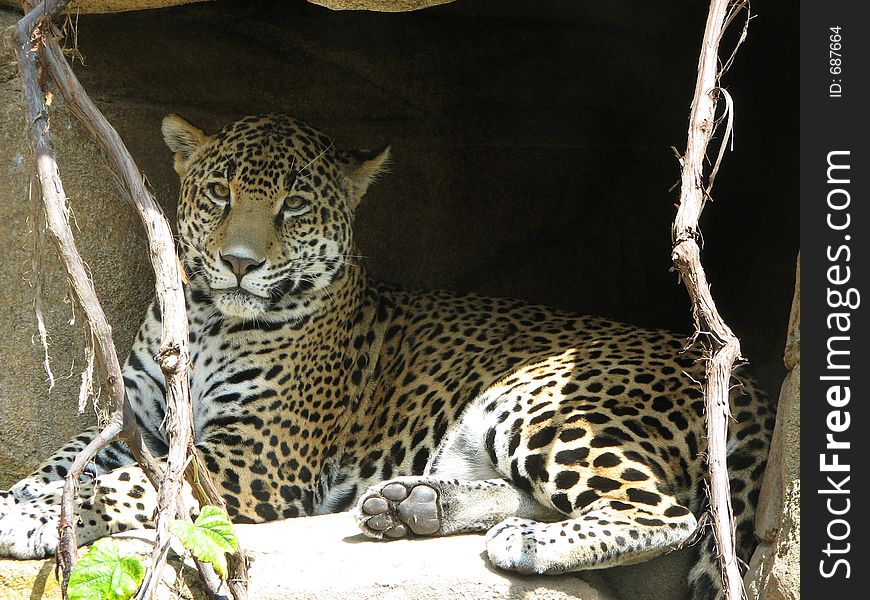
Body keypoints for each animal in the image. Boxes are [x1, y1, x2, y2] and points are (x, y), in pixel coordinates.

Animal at [0, 113, 776, 600]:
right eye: (220, 194)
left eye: (294, 208)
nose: (240, 263)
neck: (206, 319)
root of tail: (742, 377)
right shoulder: (139, 419)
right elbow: (65, 464)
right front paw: (21, 498)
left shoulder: (259, 459)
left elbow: (134, 483)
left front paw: (30, 521)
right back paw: (418, 507)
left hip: (542, 396)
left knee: (665, 513)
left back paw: (524, 545)